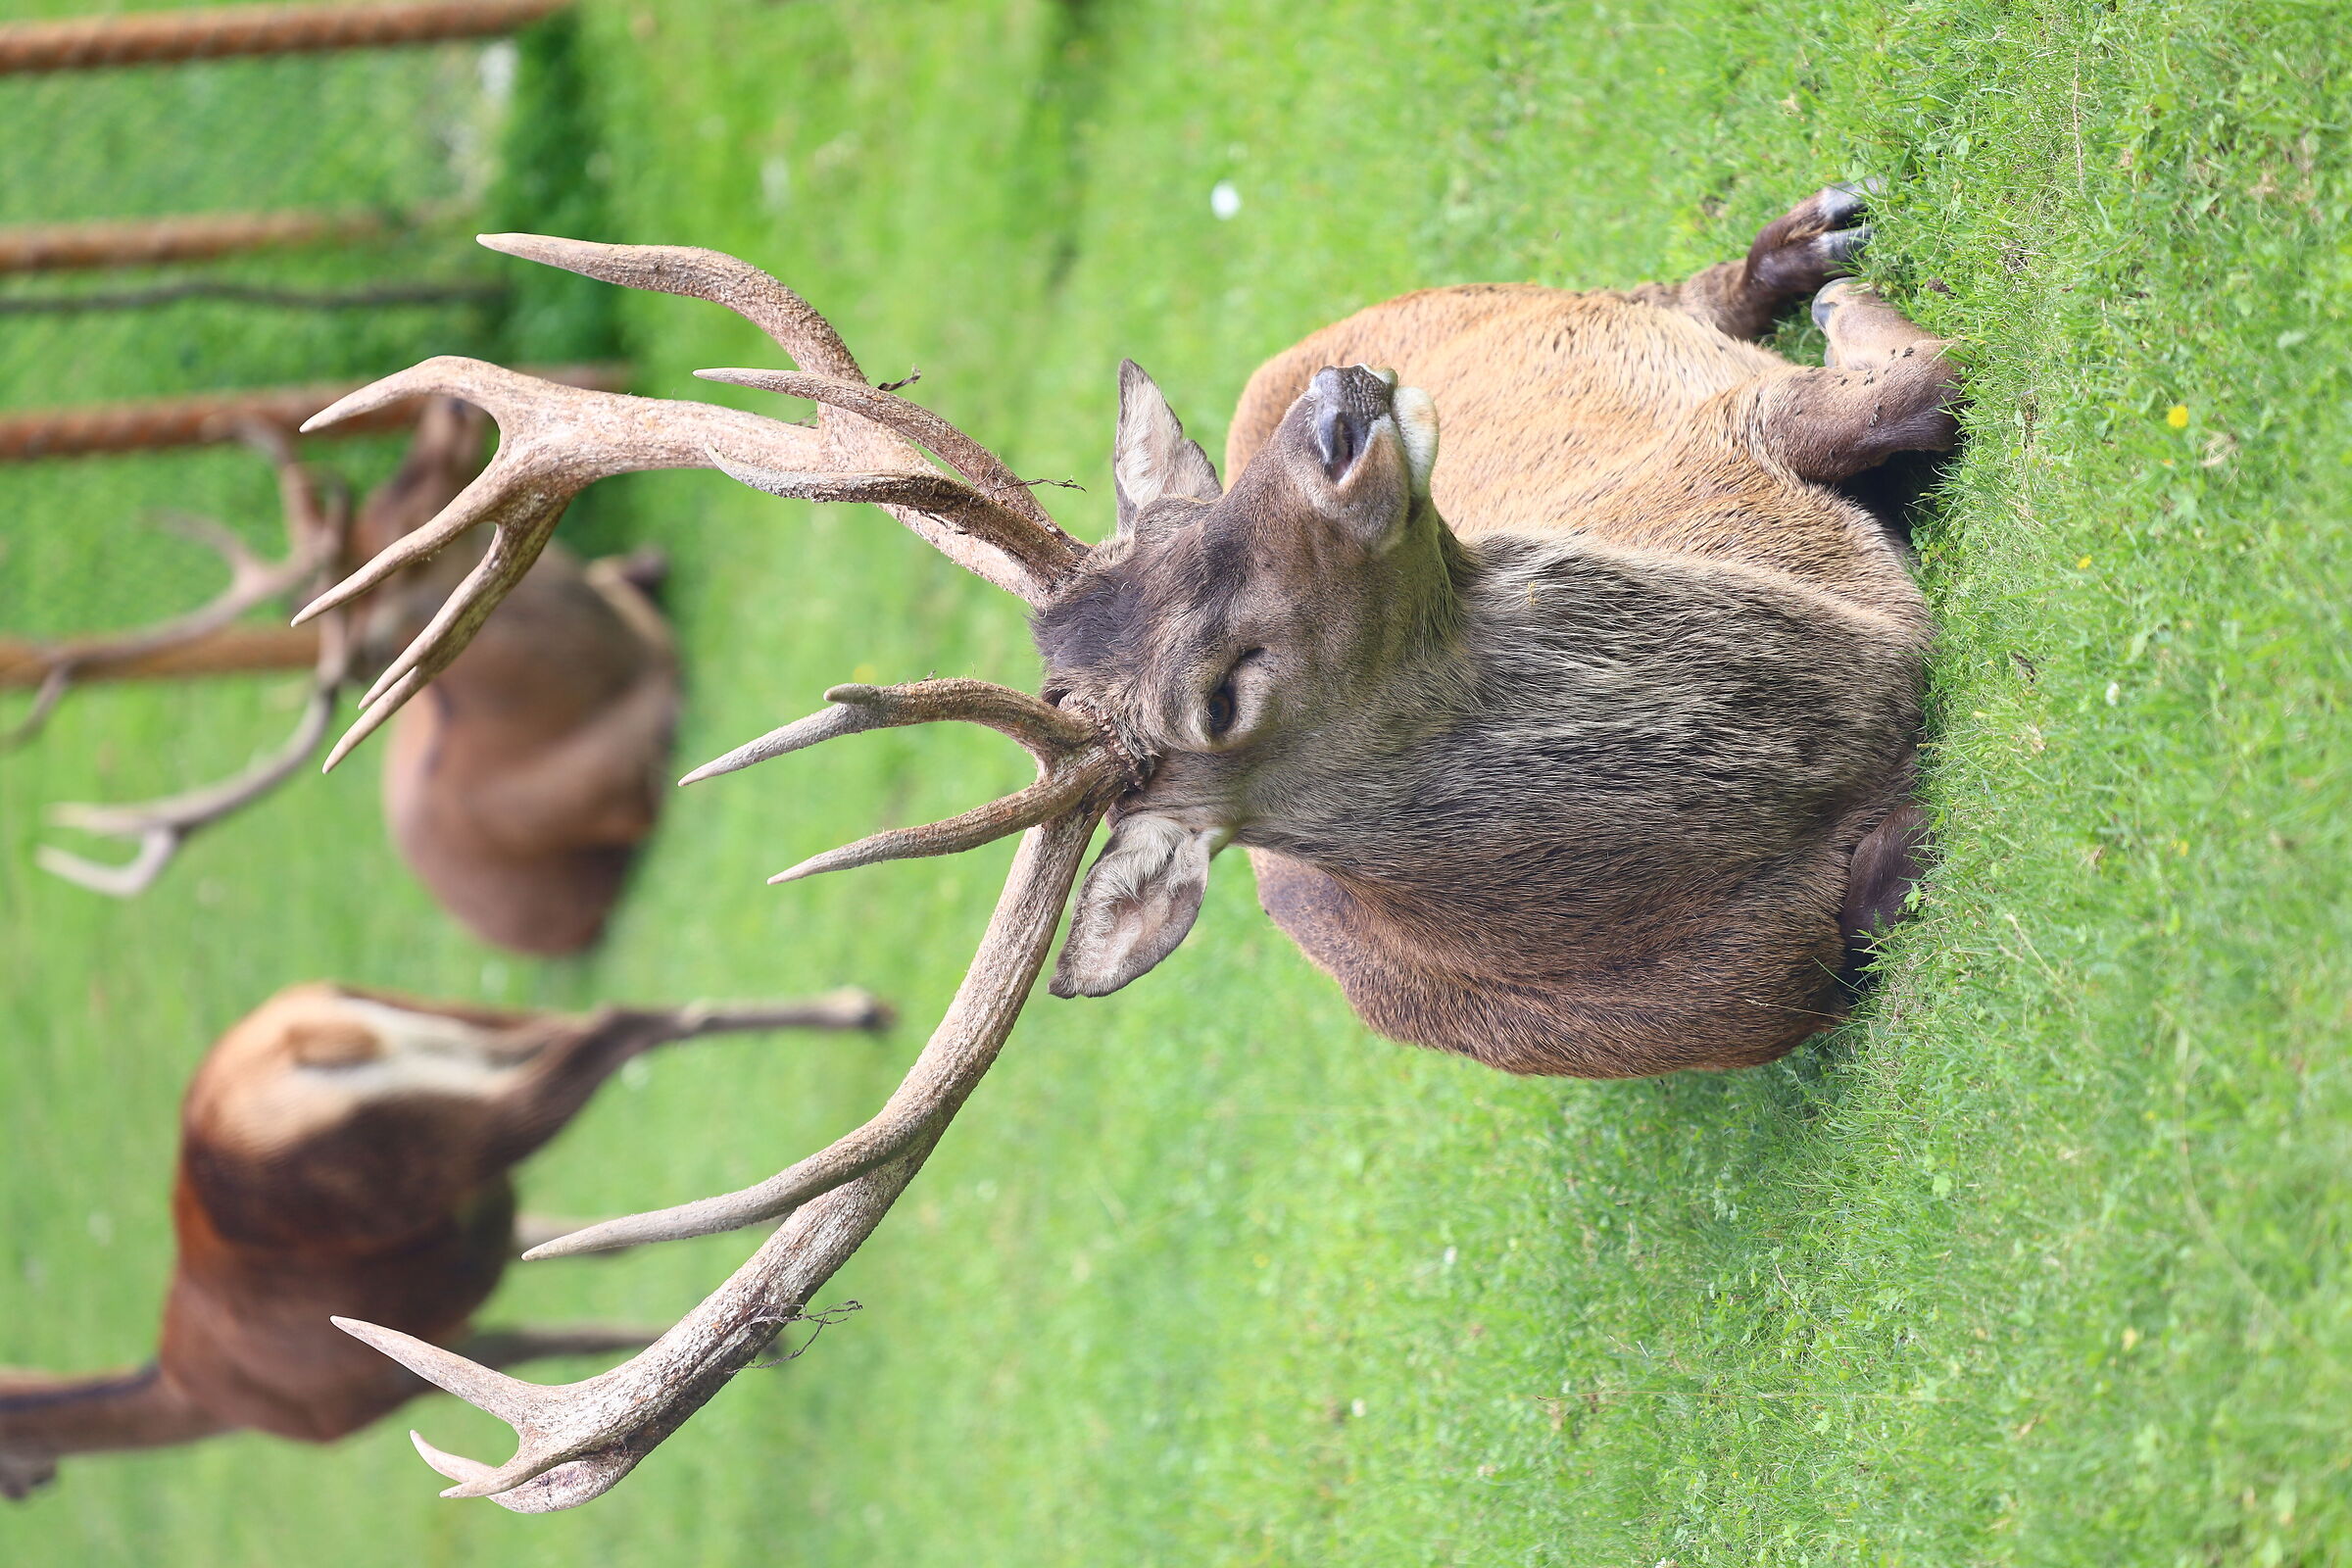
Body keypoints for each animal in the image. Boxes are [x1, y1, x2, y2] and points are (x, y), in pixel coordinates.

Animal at [0, 979, 888, 1502]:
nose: (34, 1483)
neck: (191, 1401)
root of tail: (287, 1050)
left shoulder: (395, 1379)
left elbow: (549, 1346)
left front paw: (768, 1345)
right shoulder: (485, 1237)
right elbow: (604, 1251)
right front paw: (767, 1332)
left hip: (430, 1146)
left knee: (610, 1029)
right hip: (448, 1031)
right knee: (605, 1017)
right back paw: (859, 1007)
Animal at [225, 181, 1958, 1510]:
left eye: (1183, 529)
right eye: (1220, 695)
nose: (1345, 409)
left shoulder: (1720, 437)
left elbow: (1895, 381)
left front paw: (1849, 303)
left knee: (1670, 285)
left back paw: (1806, 232)